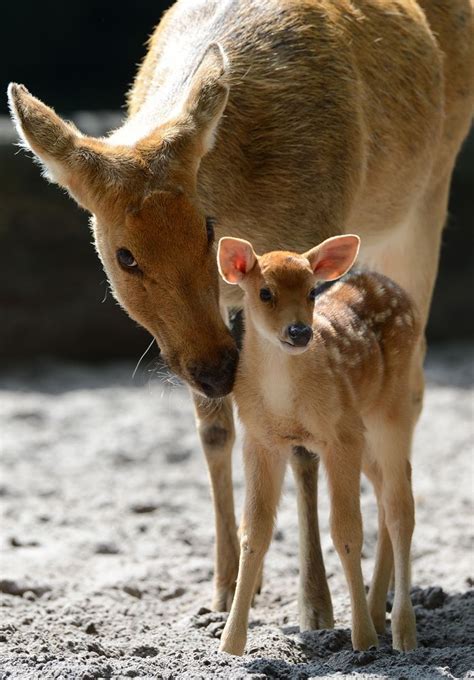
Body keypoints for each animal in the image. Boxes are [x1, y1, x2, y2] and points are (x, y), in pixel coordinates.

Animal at [217, 234, 420, 652]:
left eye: (312, 291)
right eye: (265, 292)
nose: (299, 332)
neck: (286, 400)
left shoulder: (339, 434)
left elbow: (346, 532)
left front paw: (363, 641)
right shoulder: (259, 439)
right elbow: (254, 533)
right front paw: (229, 644)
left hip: (392, 409)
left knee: (400, 506)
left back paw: (402, 633)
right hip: (366, 429)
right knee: (385, 497)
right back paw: (378, 613)